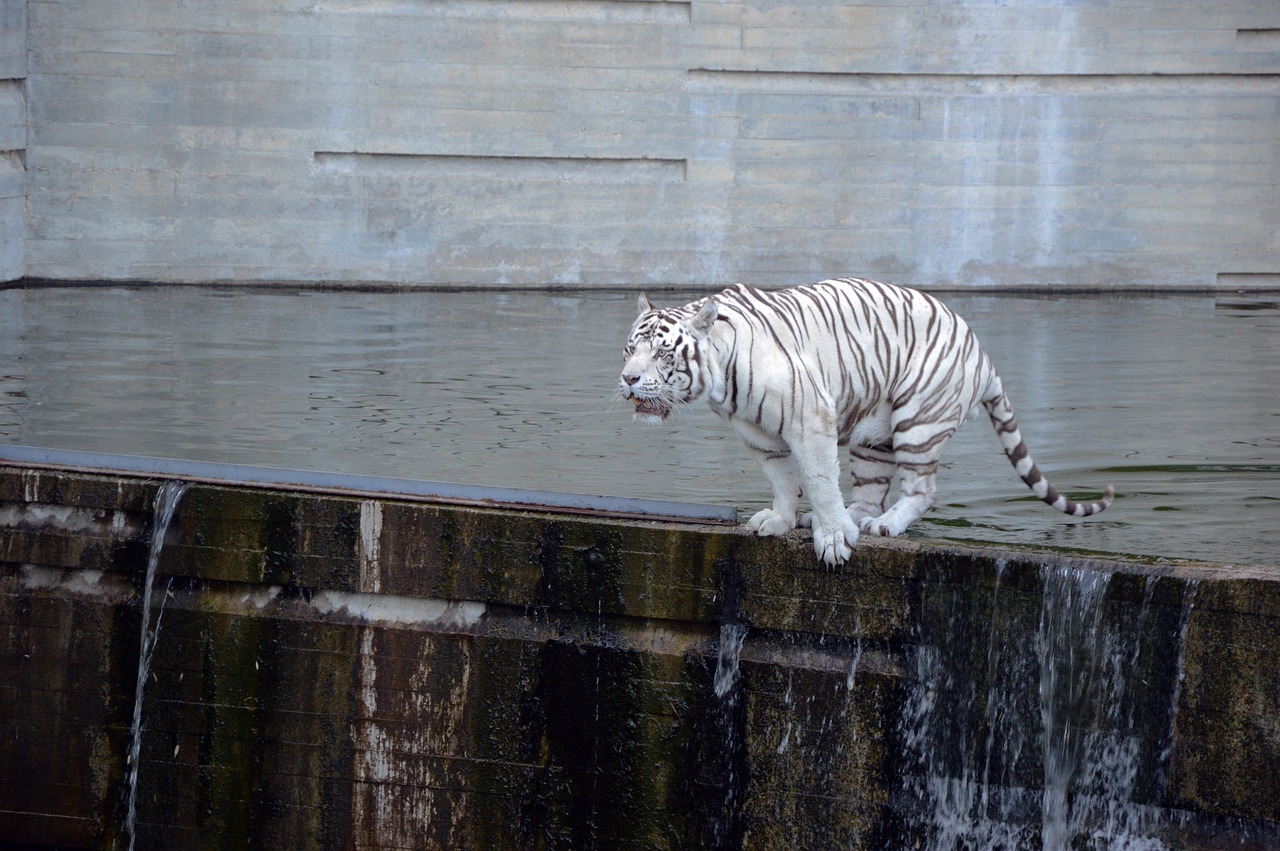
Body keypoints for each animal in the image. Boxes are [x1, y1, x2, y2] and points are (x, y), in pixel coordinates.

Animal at [616, 278, 1111, 563]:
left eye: (662, 353)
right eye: (629, 349)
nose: (628, 378)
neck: (722, 380)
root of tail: (984, 357)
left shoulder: (809, 418)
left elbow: (816, 478)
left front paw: (834, 542)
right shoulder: (760, 437)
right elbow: (783, 480)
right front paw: (781, 520)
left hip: (919, 419)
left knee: (922, 490)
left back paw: (880, 525)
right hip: (873, 435)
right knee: (871, 489)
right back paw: (844, 519)